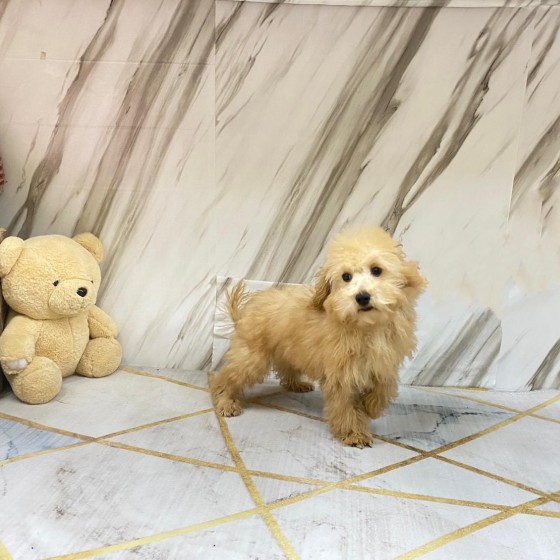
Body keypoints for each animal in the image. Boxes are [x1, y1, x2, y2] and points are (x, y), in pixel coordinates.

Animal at [211, 227, 427, 447]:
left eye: (376, 270)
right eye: (346, 276)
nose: (362, 297)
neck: (365, 326)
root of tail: (244, 312)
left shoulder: (384, 364)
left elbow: (384, 388)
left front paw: (371, 407)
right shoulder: (341, 374)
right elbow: (344, 406)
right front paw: (353, 433)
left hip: (287, 350)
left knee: (285, 367)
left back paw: (296, 384)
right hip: (252, 358)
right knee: (228, 377)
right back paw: (226, 400)